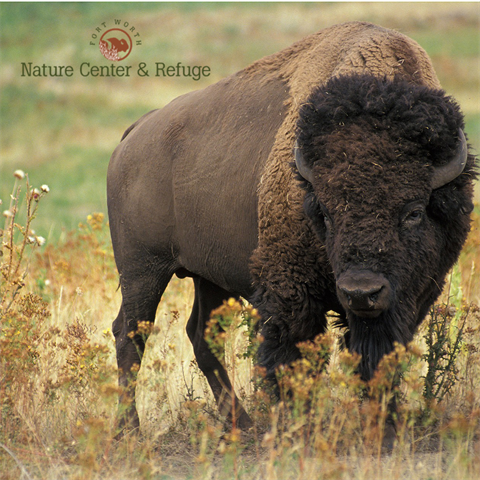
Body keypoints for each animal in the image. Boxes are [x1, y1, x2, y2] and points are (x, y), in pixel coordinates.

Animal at [107, 21, 474, 438]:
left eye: (413, 211)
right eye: (325, 214)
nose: (361, 292)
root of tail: (134, 134)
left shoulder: (410, 297)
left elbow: (379, 357)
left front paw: (384, 425)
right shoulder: (290, 291)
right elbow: (293, 357)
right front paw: (300, 425)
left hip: (207, 277)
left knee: (201, 335)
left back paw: (241, 424)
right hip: (143, 270)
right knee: (130, 334)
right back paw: (130, 431)